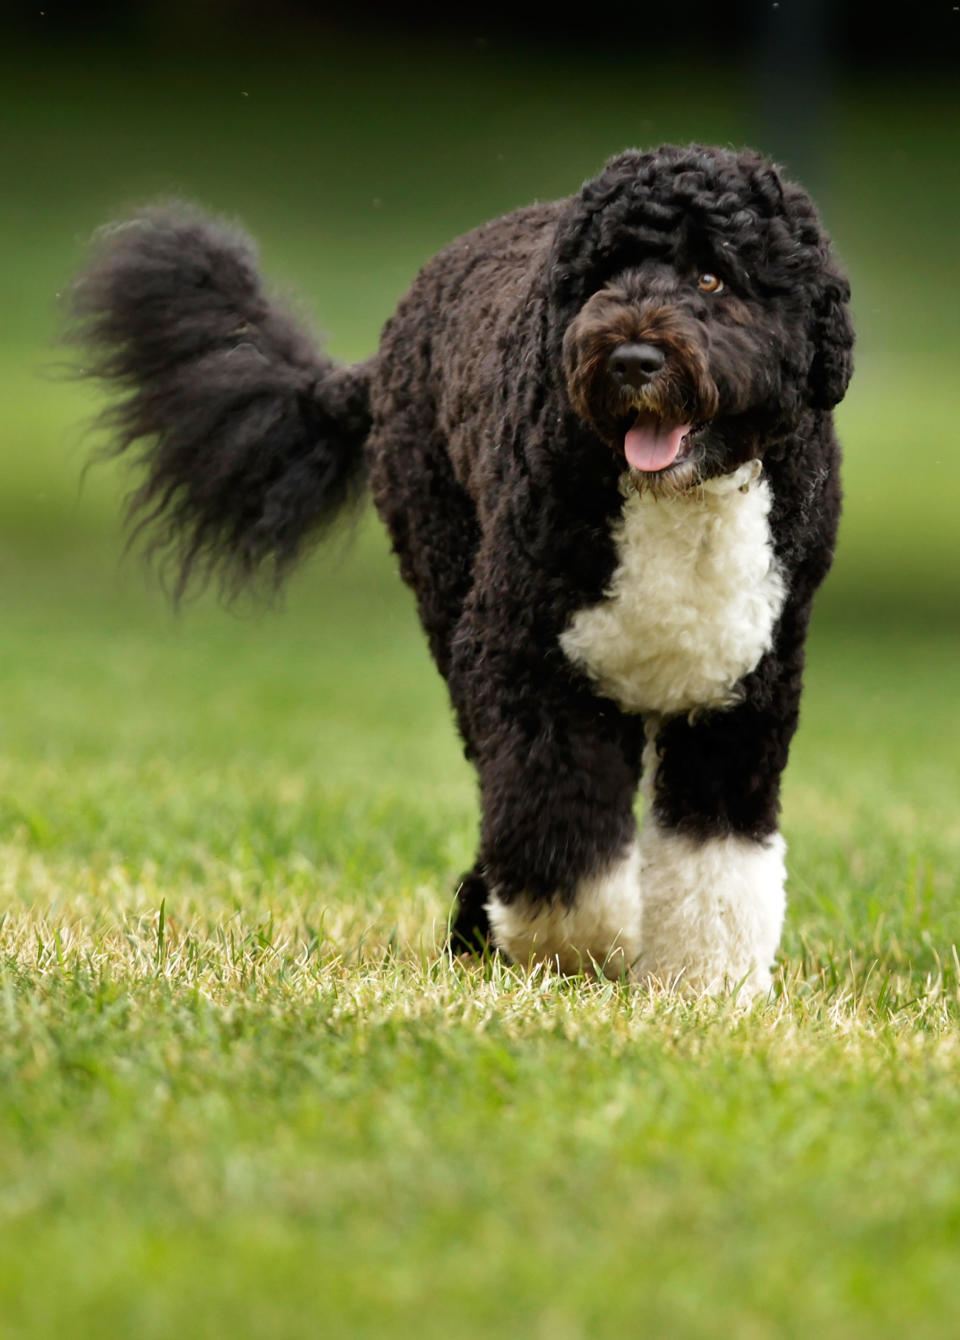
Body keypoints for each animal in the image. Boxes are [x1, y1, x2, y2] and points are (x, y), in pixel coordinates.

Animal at [69, 144, 852, 996]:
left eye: (713, 277)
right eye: (604, 276)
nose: (631, 358)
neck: (671, 499)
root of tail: (381, 354)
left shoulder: (742, 691)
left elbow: (719, 857)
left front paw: (705, 984)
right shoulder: (528, 664)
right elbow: (561, 837)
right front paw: (580, 949)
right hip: (449, 592)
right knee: (503, 786)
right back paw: (486, 923)